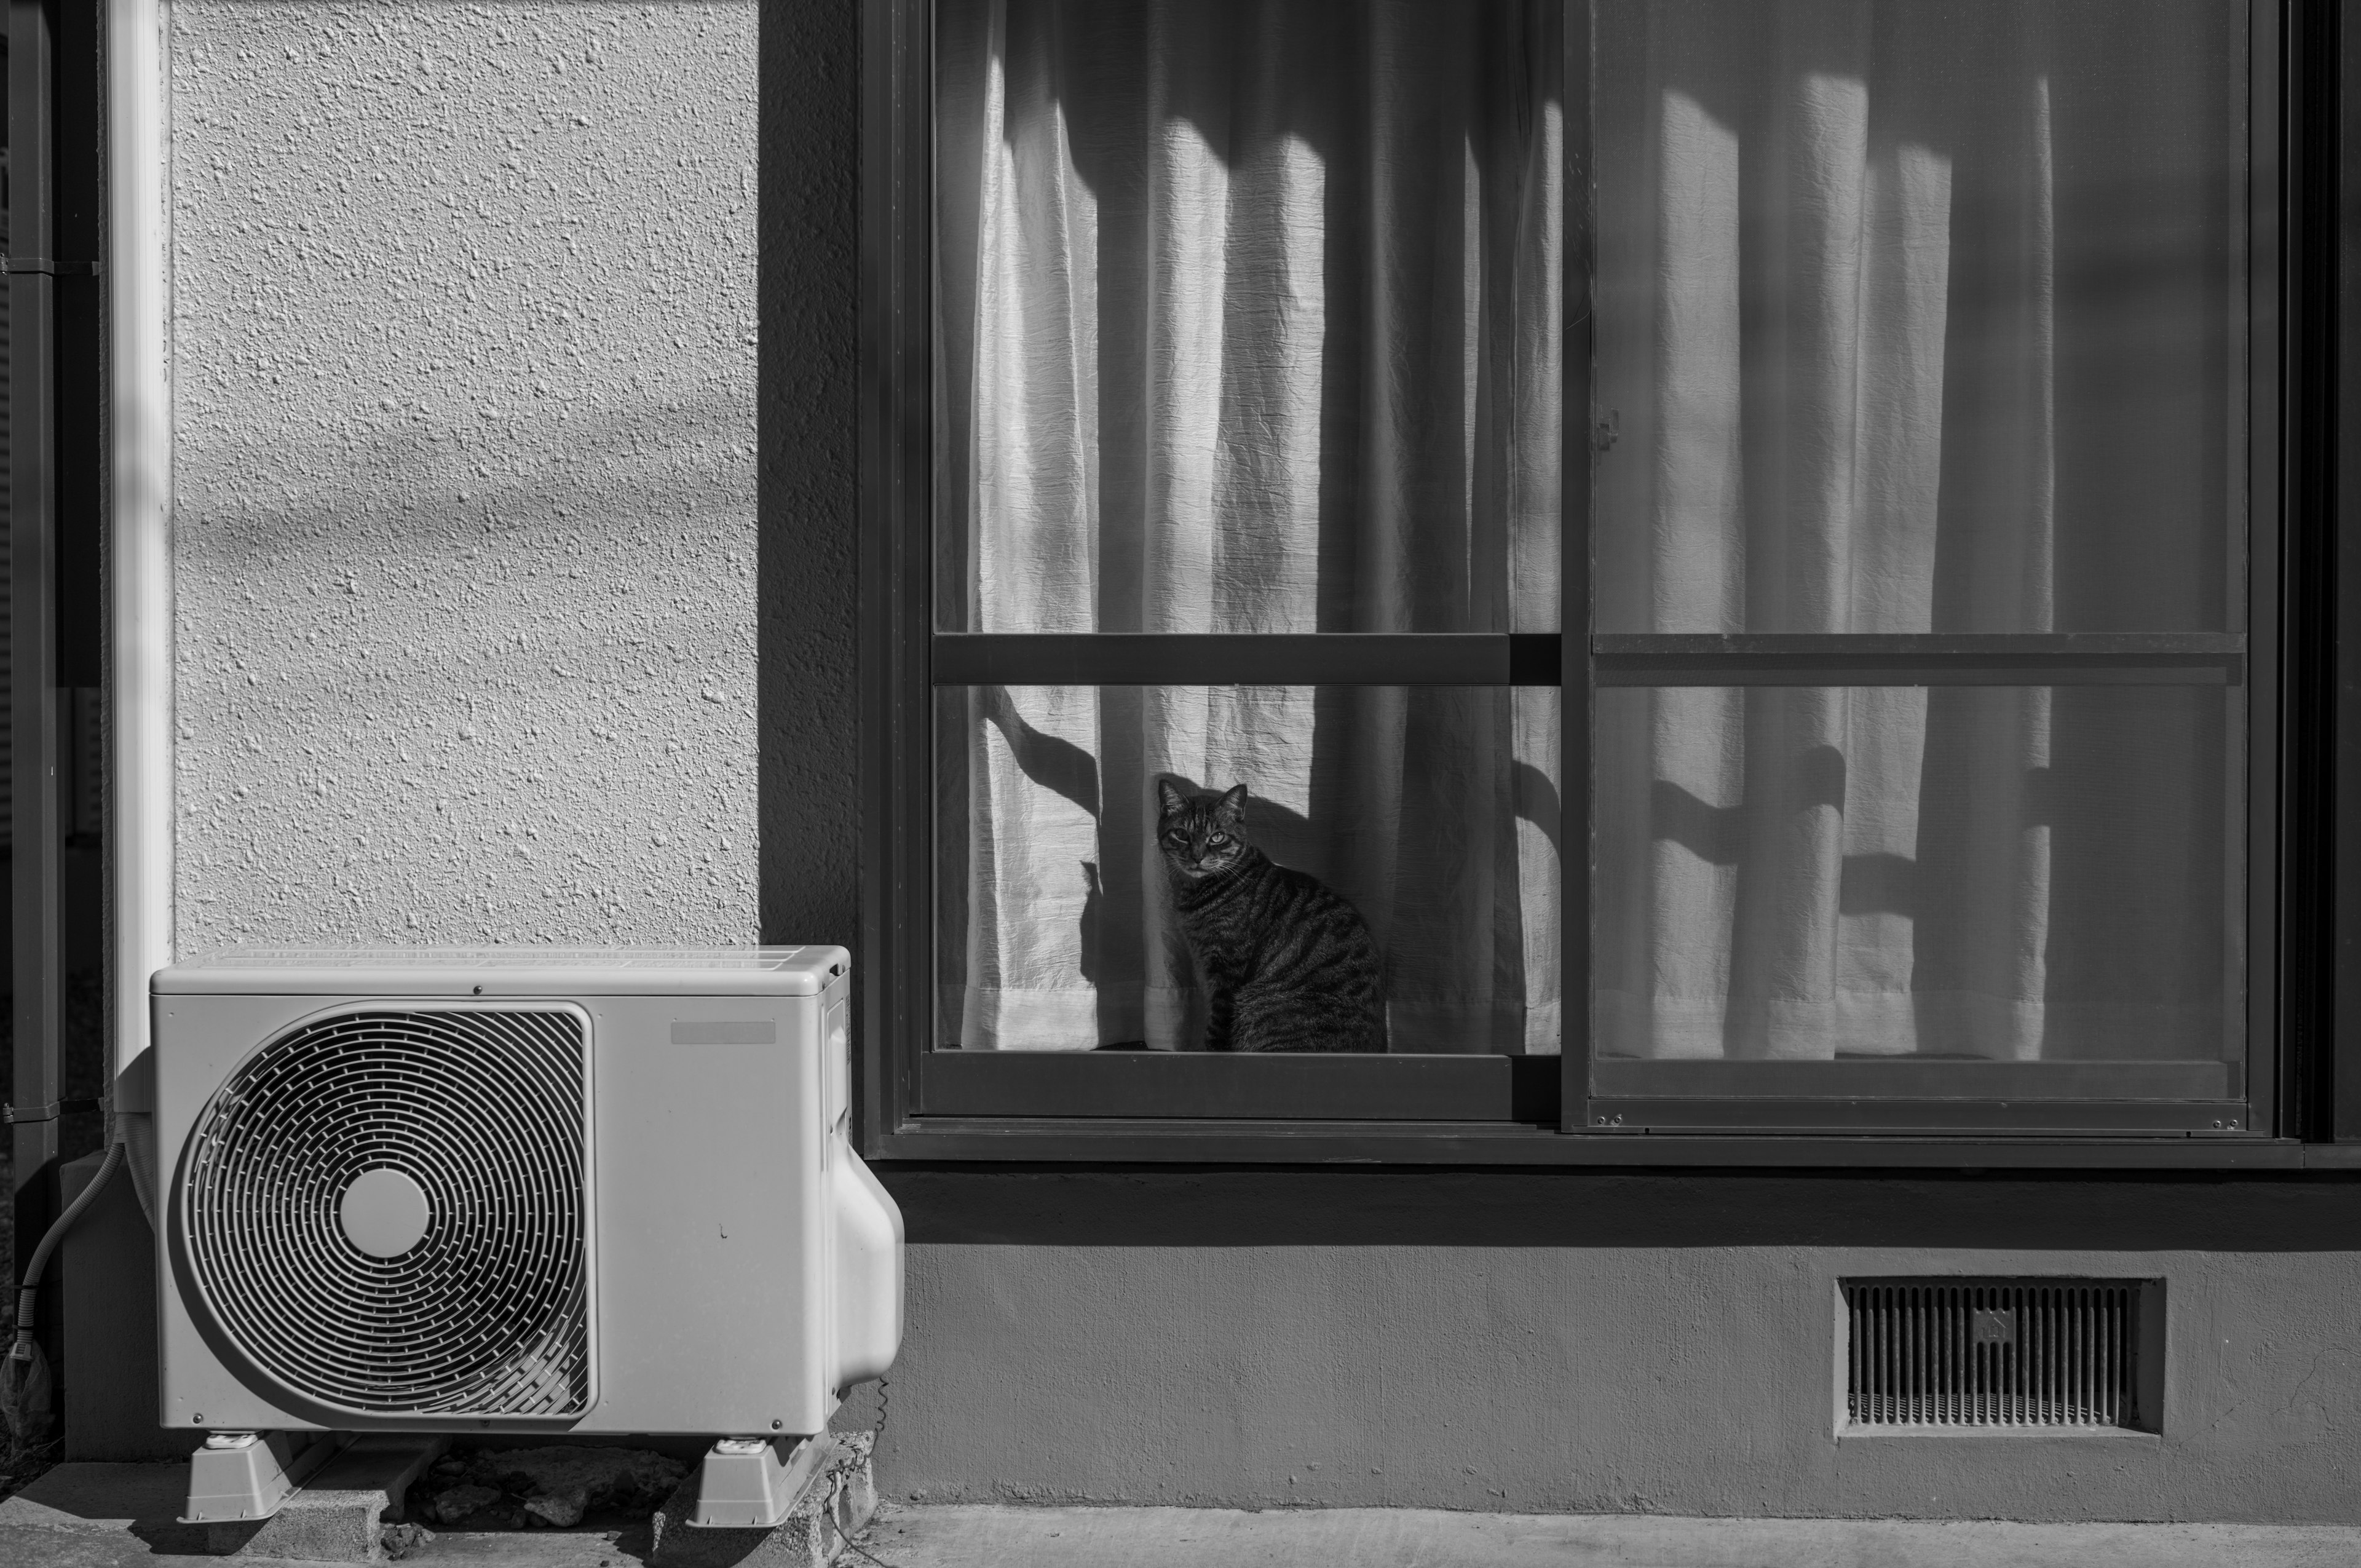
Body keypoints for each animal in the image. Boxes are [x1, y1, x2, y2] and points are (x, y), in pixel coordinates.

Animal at [1157, 779, 1378, 1053]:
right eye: (1181, 834)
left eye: (1217, 837)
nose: (1197, 857)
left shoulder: (1228, 969)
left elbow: (1217, 1029)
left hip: (1258, 1007)